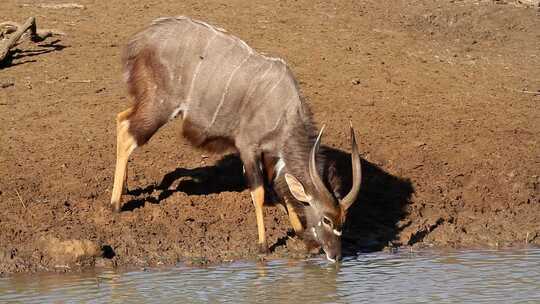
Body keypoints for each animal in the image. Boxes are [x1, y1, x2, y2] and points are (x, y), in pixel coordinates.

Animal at [111, 16, 360, 262]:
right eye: (326, 219)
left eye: (344, 220)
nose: (336, 256)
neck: (286, 110)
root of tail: (139, 41)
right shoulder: (248, 147)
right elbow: (259, 192)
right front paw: (263, 245)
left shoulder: (271, 154)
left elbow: (279, 186)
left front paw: (304, 237)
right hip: (160, 107)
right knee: (127, 132)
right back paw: (115, 204)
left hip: (148, 103)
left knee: (121, 118)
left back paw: (125, 189)